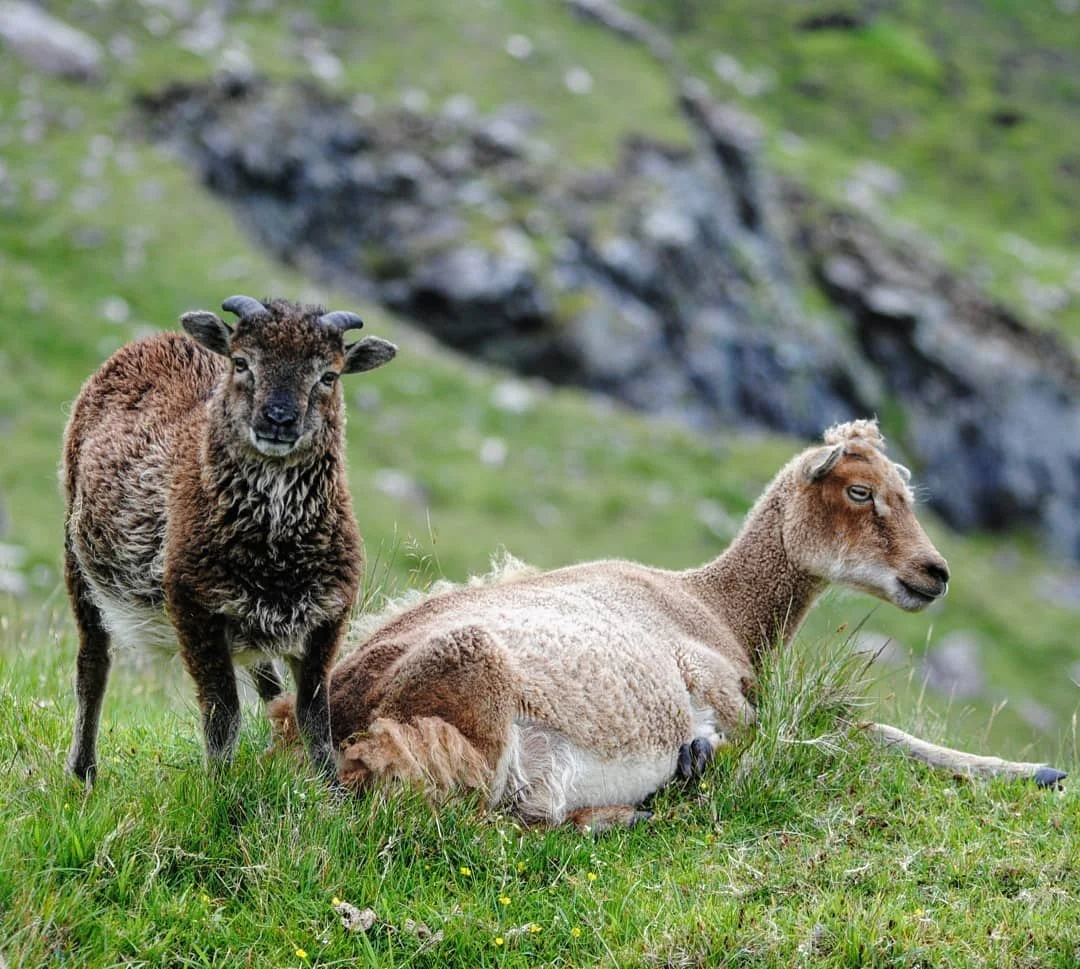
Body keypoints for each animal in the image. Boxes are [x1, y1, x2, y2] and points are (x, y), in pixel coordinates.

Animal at [62, 295, 396, 782]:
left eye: (329, 375)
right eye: (242, 362)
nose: (278, 420)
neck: (276, 554)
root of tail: (159, 338)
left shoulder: (325, 618)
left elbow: (315, 716)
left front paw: (330, 789)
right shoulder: (195, 608)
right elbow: (223, 716)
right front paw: (218, 787)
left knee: (268, 680)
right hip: (78, 555)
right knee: (93, 663)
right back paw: (84, 770)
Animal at [269, 419, 1066, 828]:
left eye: (905, 490)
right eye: (861, 490)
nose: (934, 572)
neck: (716, 606)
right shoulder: (727, 696)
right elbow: (856, 734)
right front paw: (1038, 770)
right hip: (458, 716)